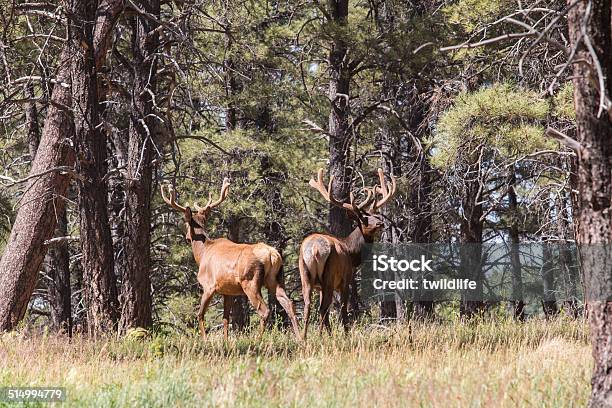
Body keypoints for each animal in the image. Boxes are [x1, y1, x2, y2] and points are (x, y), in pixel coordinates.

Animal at [160, 178, 298, 342]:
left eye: (186, 223)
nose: (187, 237)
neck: (202, 253)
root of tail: (272, 255)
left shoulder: (209, 285)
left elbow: (200, 314)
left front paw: (205, 340)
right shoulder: (228, 291)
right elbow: (226, 318)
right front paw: (226, 341)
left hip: (250, 281)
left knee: (264, 310)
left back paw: (257, 340)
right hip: (276, 279)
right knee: (289, 303)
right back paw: (301, 337)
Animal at [300, 167, 396, 340]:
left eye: (374, 215)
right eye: (363, 218)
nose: (380, 223)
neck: (352, 253)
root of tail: (314, 249)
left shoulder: (320, 287)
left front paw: (321, 334)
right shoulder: (346, 279)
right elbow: (344, 309)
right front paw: (346, 334)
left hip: (305, 275)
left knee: (308, 306)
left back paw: (304, 338)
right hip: (329, 276)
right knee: (324, 308)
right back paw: (330, 336)